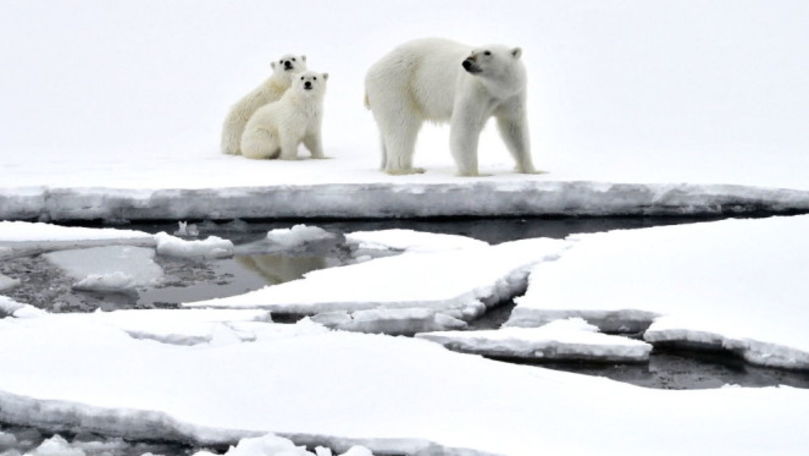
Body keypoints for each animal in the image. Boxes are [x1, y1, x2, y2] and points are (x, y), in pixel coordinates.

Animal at [366, 38, 536, 176]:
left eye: (487, 52)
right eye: (472, 51)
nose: (467, 62)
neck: (496, 89)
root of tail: (371, 72)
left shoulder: (512, 96)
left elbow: (513, 128)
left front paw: (531, 169)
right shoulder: (474, 92)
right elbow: (465, 127)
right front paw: (474, 173)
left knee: (387, 130)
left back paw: (385, 164)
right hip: (397, 86)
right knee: (402, 126)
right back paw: (406, 169)